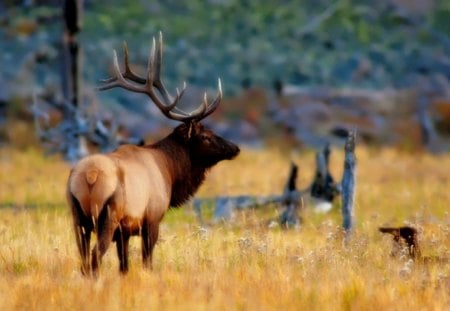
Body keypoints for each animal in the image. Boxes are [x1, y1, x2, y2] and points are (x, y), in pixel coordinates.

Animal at [66, 33, 239, 278]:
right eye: (205, 135)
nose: (235, 148)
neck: (170, 171)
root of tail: (89, 176)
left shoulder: (124, 231)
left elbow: (124, 266)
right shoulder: (152, 219)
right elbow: (147, 262)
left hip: (77, 217)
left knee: (82, 258)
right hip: (108, 215)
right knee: (95, 256)